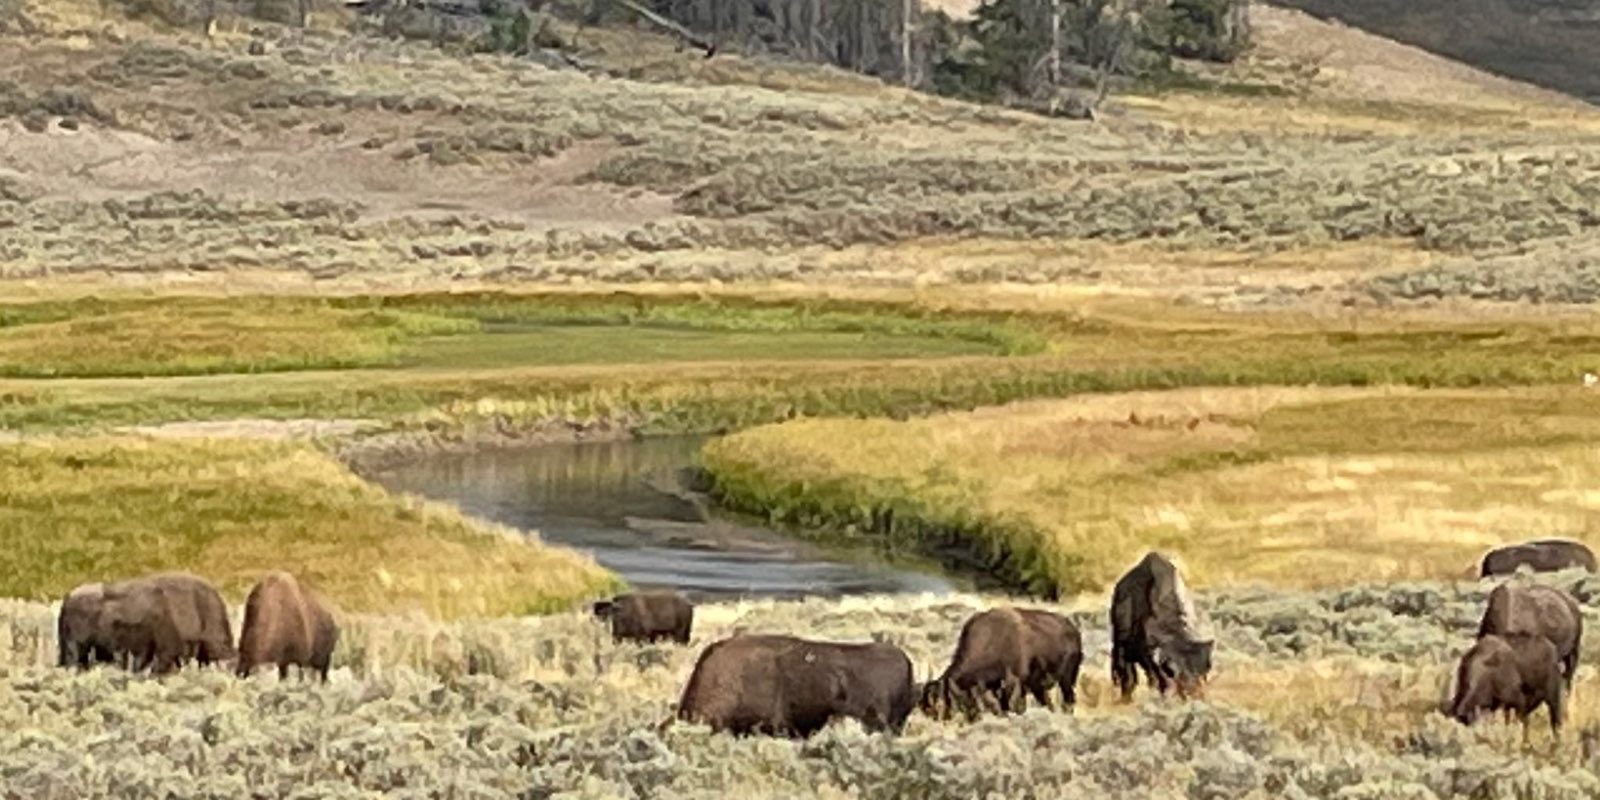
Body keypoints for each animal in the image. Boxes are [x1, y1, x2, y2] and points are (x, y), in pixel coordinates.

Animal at [919, 606, 1082, 720]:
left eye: (940, 703)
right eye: (926, 710)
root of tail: (1074, 631)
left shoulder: (1015, 684)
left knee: (1068, 700)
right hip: (1040, 687)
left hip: (1066, 680)